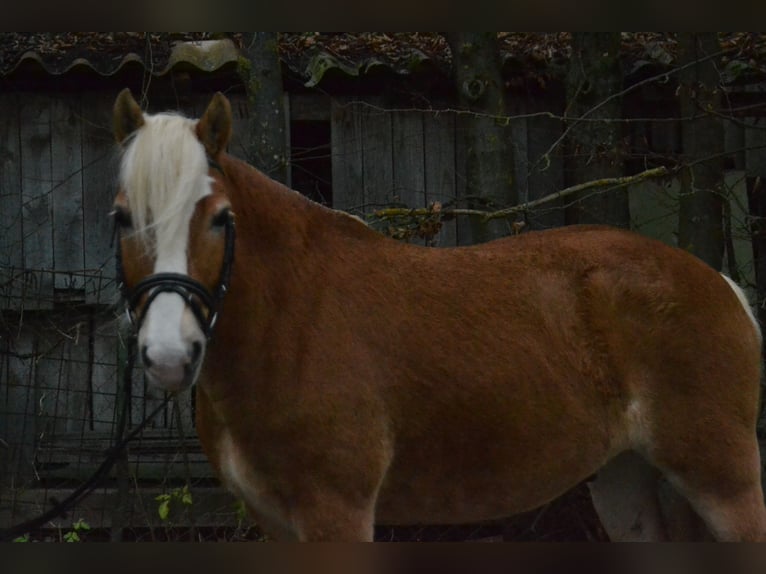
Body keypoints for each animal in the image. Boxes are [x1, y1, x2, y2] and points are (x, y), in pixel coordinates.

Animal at [109, 88, 766, 544]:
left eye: (221, 218)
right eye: (122, 216)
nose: (169, 355)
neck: (290, 325)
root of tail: (719, 283)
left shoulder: (337, 512)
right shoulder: (273, 521)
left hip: (724, 482)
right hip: (629, 481)